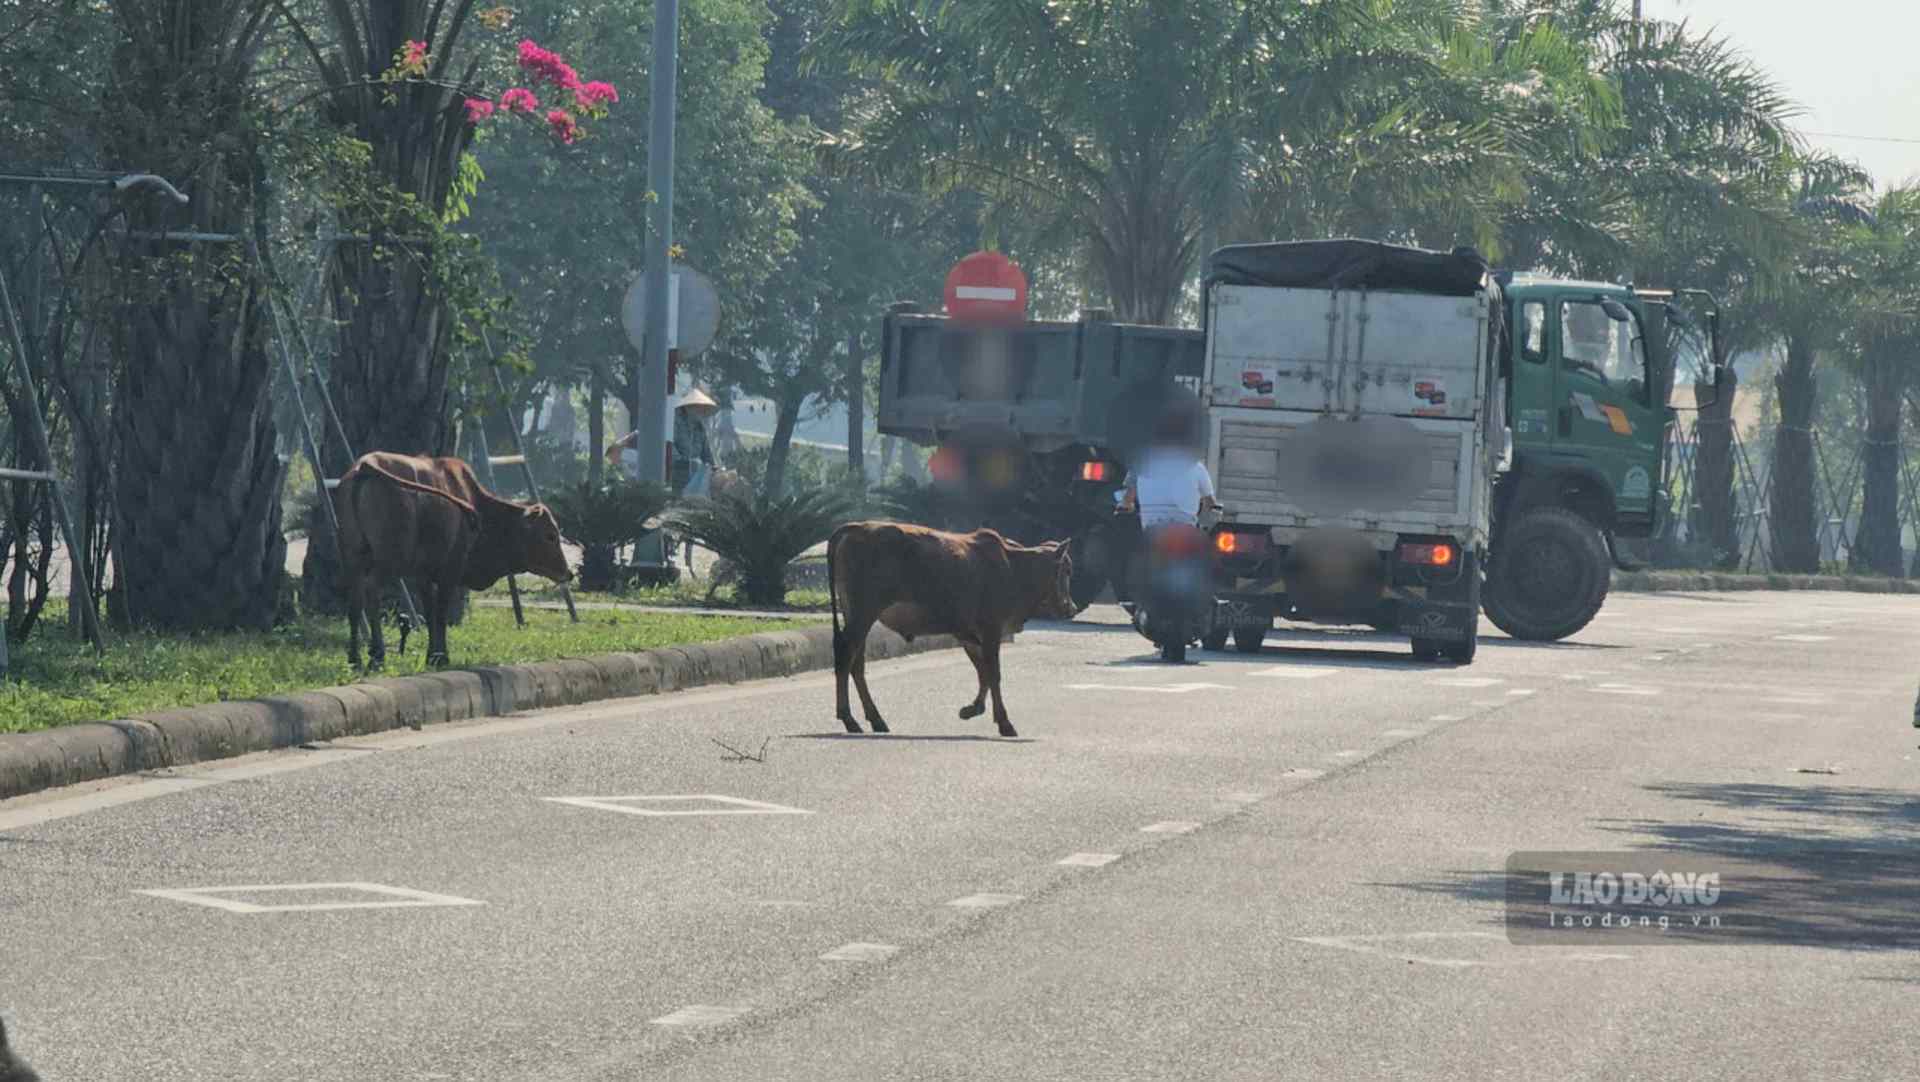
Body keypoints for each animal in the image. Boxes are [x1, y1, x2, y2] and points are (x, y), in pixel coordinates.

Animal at [334, 448, 568, 667]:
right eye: (550, 535)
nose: (569, 573)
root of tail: (366, 465)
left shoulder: (424, 575)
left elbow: (430, 613)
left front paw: (432, 655)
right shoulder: (450, 570)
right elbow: (440, 614)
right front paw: (440, 657)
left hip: (353, 557)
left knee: (355, 601)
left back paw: (355, 658)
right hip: (390, 559)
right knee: (371, 590)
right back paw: (377, 655)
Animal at [821, 521, 1075, 740]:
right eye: (1066, 570)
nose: (1071, 608)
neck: (1013, 567)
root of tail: (856, 527)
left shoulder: (968, 636)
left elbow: (983, 673)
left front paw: (972, 709)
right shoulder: (990, 631)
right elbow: (993, 674)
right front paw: (1004, 723)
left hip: (858, 618)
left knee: (856, 665)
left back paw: (875, 720)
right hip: (862, 616)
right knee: (845, 657)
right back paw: (849, 719)